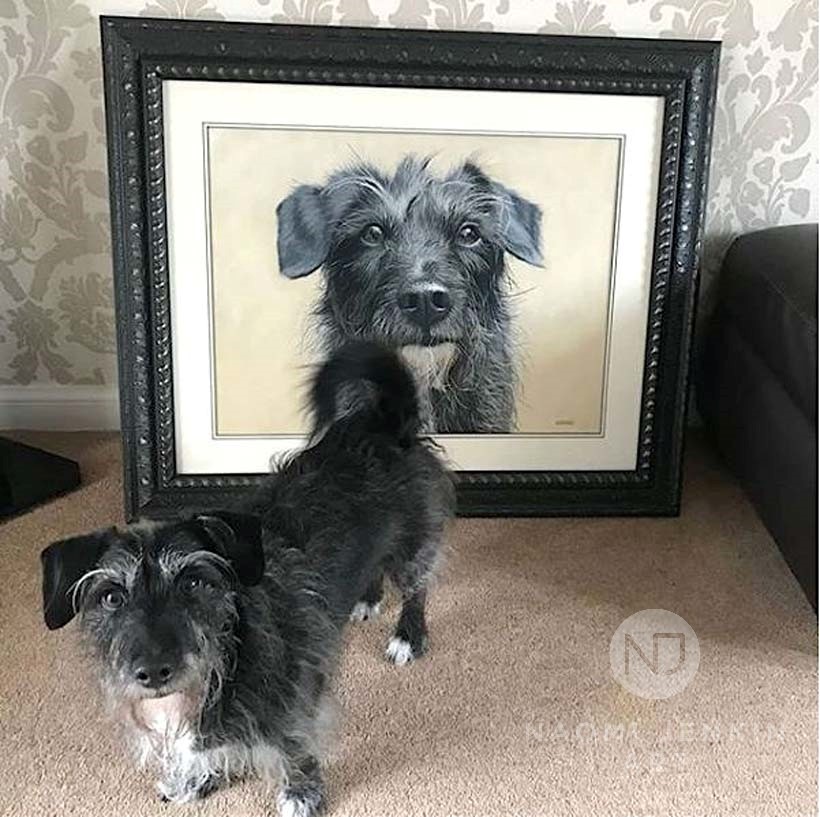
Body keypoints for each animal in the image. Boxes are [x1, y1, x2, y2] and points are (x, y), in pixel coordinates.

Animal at [40, 342, 454, 812]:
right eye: (111, 597)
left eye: (194, 582)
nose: (153, 671)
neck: (231, 652)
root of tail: (382, 423)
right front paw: (197, 779)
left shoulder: (293, 706)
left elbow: (294, 748)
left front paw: (301, 794)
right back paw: (365, 599)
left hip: (413, 546)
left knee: (417, 586)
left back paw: (408, 636)